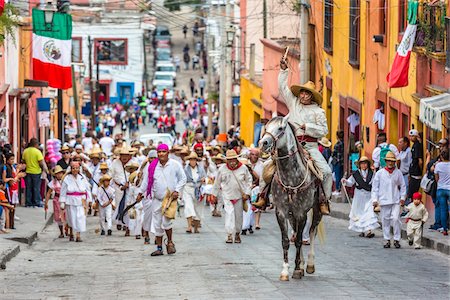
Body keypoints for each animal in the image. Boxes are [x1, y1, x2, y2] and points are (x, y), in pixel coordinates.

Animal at [258, 116, 322, 280]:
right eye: (267, 127)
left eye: (280, 128)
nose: (263, 143)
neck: (291, 177)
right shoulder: (281, 212)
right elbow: (286, 241)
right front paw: (286, 270)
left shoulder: (301, 213)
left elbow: (299, 240)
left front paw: (297, 270)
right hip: (292, 215)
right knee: (295, 232)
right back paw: (301, 264)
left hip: (317, 209)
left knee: (312, 232)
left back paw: (309, 264)